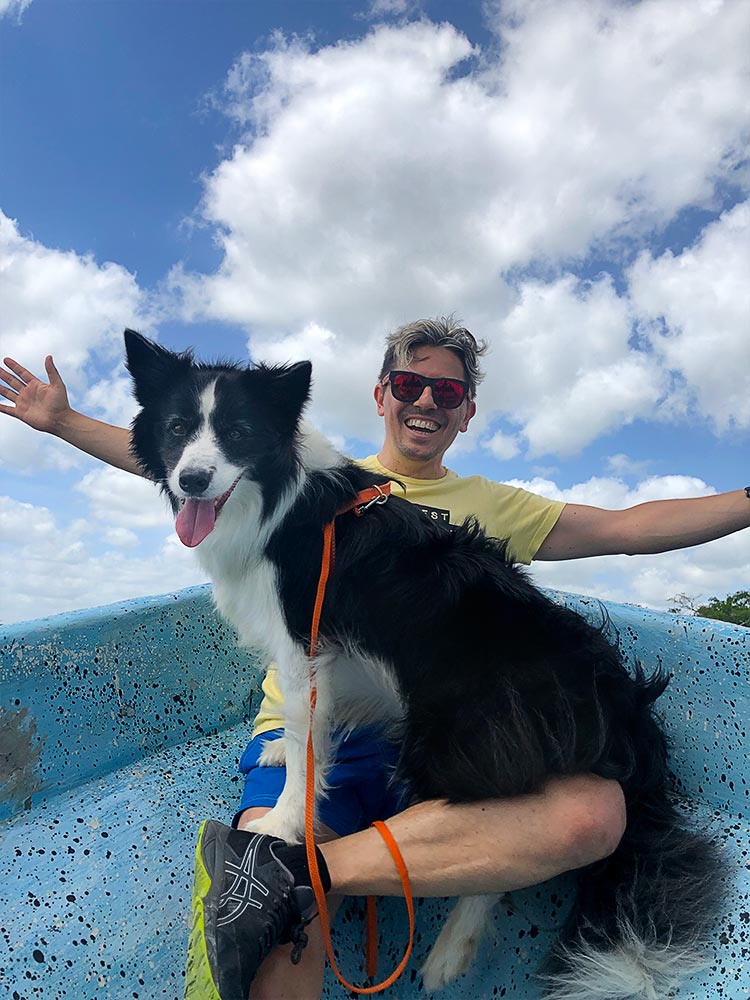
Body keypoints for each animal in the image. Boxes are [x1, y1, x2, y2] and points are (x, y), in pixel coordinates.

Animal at [126, 328, 724, 1000]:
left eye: (239, 431)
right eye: (177, 428)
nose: (193, 479)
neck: (279, 500)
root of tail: (628, 712)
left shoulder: (305, 639)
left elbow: (307, 754)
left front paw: (281, 823)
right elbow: (311, 734)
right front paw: (280, 749)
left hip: (456, 734)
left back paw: (448, 949)